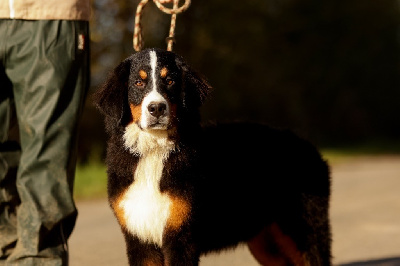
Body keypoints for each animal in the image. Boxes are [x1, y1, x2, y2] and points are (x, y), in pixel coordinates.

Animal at [94, 48, 332, 266]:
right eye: (138, 83)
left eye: (170, 81)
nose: (157, 108)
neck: (154, 151)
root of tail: (308, 146)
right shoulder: (140, 240)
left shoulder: (181, 237)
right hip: (267, 242)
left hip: (304, 231)